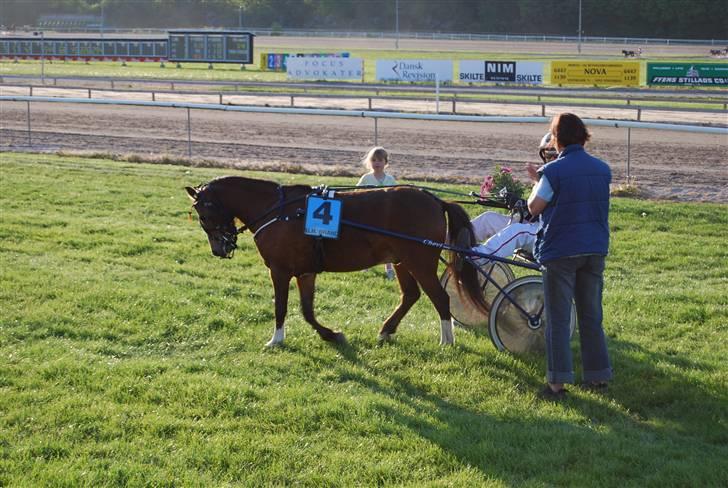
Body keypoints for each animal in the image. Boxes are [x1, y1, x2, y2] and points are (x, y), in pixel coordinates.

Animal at [185, 175, 486, 346]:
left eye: (203, 214)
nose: (219, 248)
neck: (279, 210)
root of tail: (435, 200)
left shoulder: (280, 270)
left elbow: (281, 307)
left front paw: (276, 340)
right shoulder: (305, 272)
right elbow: (307, 311)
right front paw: (331, 334)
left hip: (419, 262)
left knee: (440, 298)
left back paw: (446, 340)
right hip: (402, 261)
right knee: (410, 295)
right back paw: (386, 330)